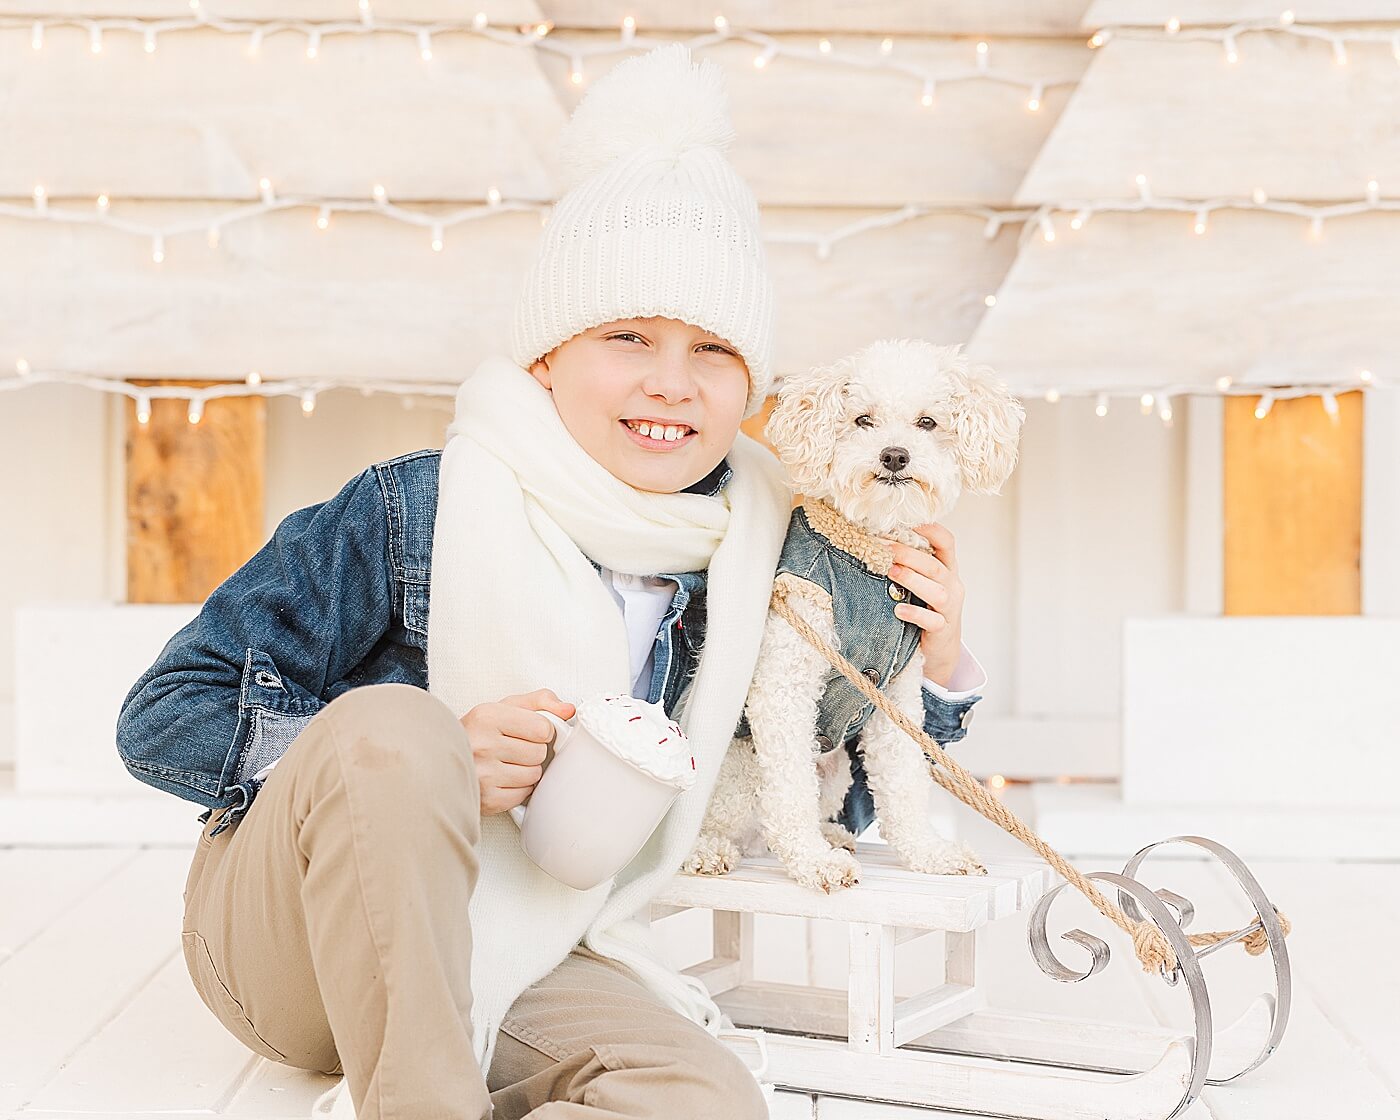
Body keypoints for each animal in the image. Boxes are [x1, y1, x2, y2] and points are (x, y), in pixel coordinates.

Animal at [683, 338, 1024, 890]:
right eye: (863, 419)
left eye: (927, 422)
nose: (894, 455)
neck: (870, 552)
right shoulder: (784, 681)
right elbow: (789, 791)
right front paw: (812, 862)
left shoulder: (898, 699)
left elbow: (904, 781)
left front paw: (930, 853)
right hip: (739, 767)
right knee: (735, 820)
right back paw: (709, 849)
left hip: (836, 765)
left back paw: (833, 834)